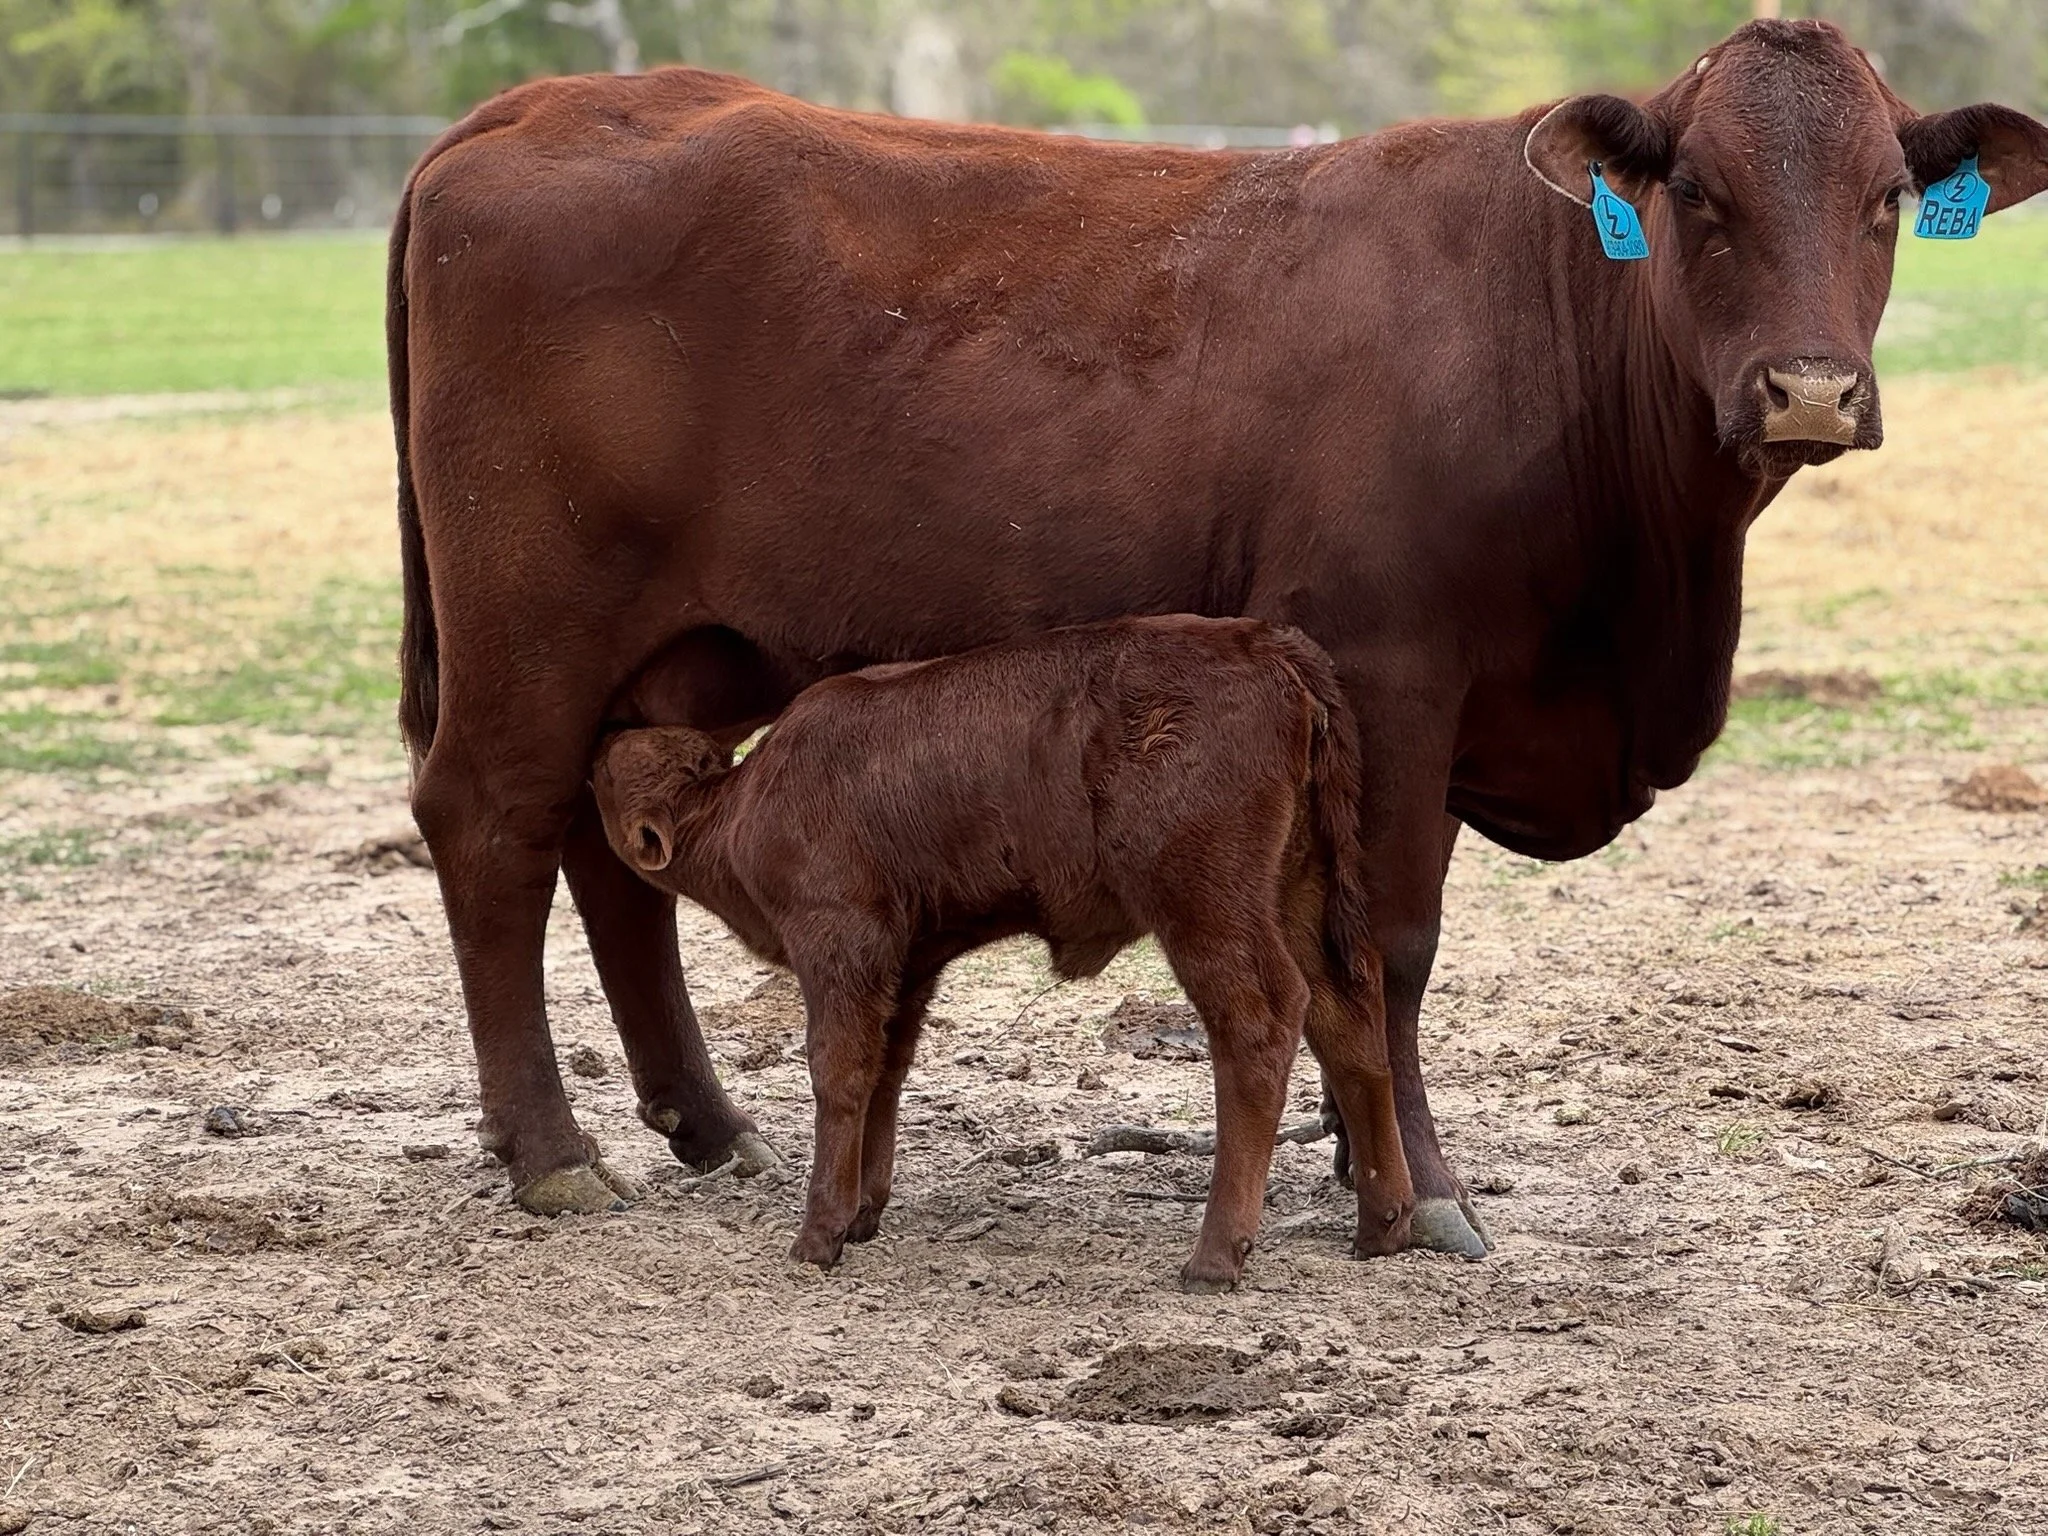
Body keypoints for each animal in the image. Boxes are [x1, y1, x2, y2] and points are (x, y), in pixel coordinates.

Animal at [589, 615, 1412, 1289]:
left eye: (607, 775)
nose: (600, 741)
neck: (737, 803)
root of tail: (1267, 645)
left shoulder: (841, 945)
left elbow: (840, 1073)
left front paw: (818, 1237)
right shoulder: (907, 966)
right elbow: (887, 1071)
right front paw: (863, 1213)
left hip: (1203, 907)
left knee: (1262, 1022)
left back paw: (1214, 1259)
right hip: (1301, 892)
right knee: (1348, 1014)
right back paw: (1384, 1226)